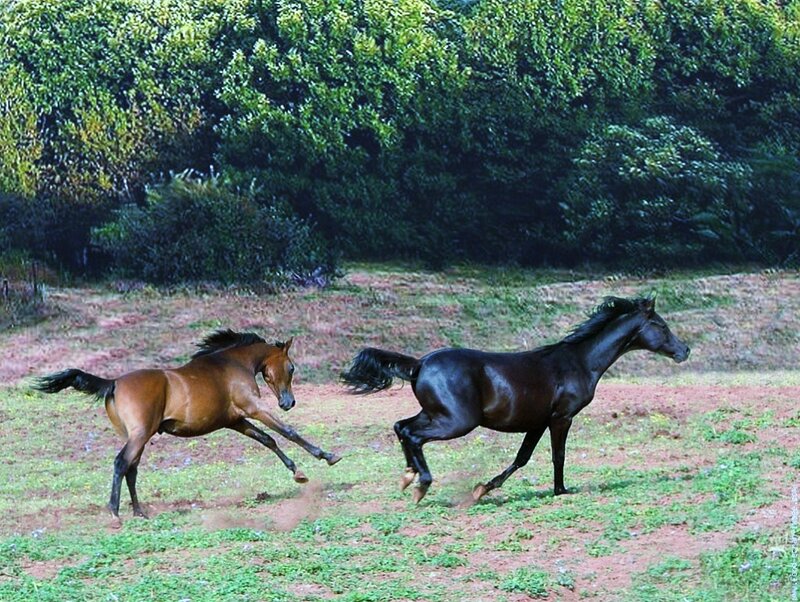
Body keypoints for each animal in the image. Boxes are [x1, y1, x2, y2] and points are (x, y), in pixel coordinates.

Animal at [34, 329, 341, 522]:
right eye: (291, 368)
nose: (289, 403)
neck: (233, 364)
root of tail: (113, 382)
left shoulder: (235, 420)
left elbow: (269, 440)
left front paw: (298, 473)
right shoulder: (253, 408)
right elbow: (288, 432)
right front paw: (327, 456)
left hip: (139, 437)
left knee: (131, 469)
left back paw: (140, 513)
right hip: (140, 435)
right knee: (121, 463)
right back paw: (115, 513)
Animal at [341, 296, 689, 503]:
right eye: (660, 325)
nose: (685, 350)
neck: (579, 361)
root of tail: (419, 364)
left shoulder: (537, 422)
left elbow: (522, 458)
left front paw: (483, 488)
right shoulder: (562, 417)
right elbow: (558, 456)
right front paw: (560, 490)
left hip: (437, 414)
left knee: (401, 427)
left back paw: (407, 477)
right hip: (457, 421)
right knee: (412, 434)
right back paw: (421, 484)